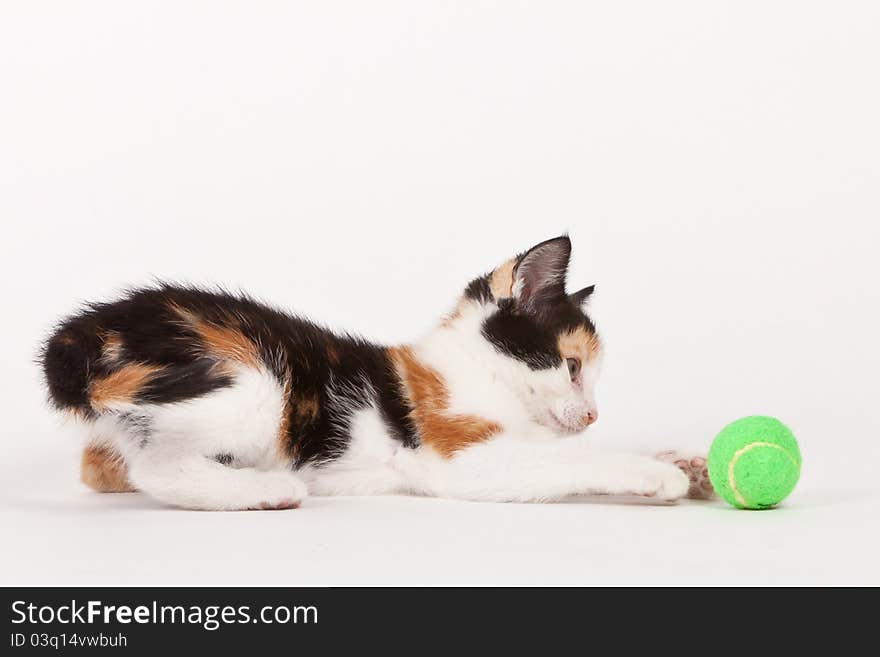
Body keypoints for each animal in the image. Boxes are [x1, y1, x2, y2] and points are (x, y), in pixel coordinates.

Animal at [43, 233, 700, 510]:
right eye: (571, 366)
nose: (591, 415)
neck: (476, 371)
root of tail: (86, 331)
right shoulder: (456, 455)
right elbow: (568, 461)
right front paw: (654, 474)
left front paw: (681, 460)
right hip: (255, 385)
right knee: (157, 465)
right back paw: (266, 491)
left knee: (102, 466)